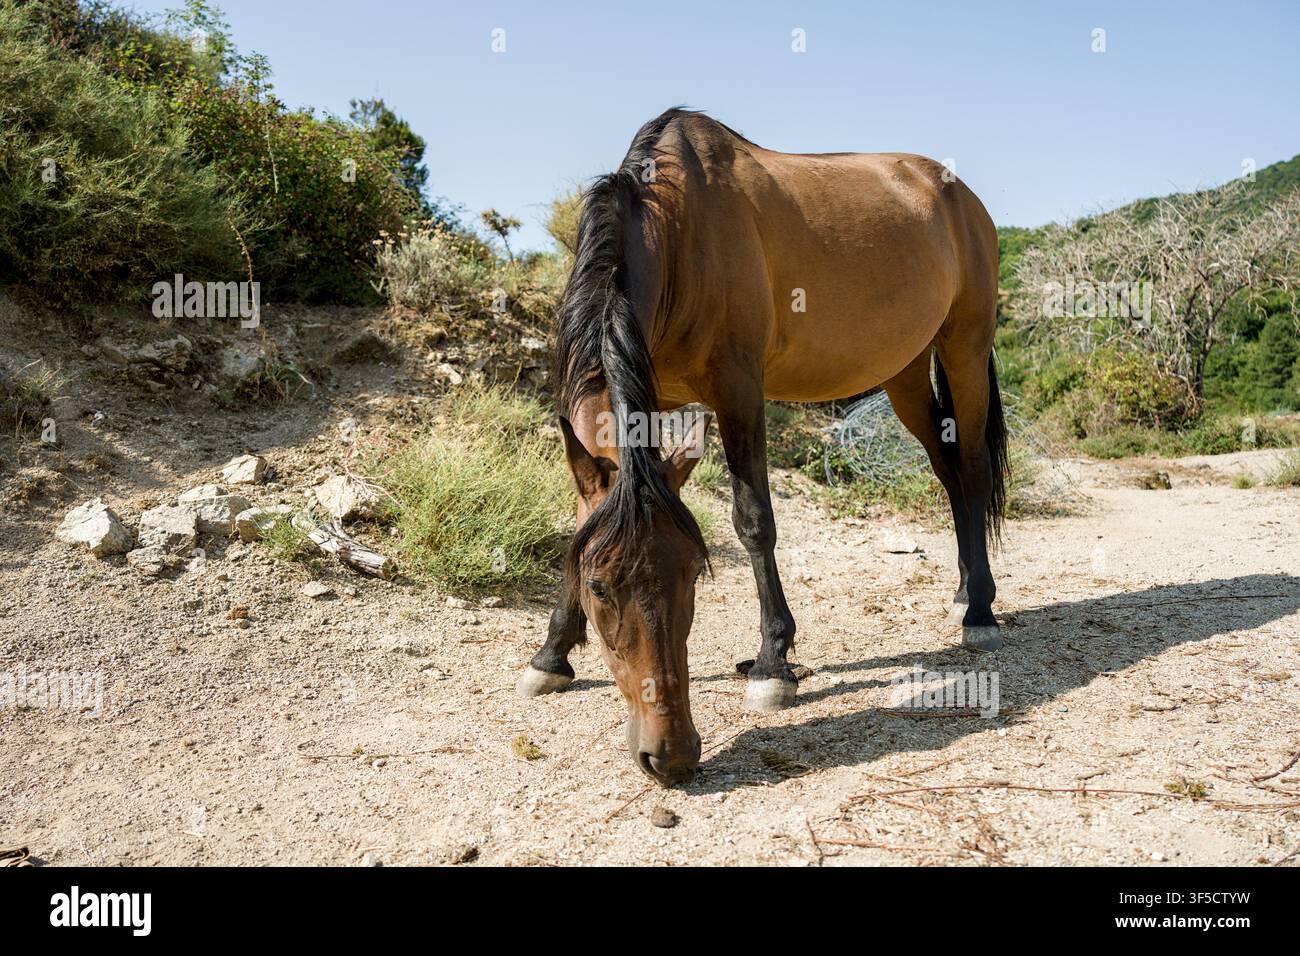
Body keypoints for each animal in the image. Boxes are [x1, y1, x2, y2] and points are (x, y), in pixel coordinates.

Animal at [516, 108, 1008, 788]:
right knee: (948, 473)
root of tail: (961, 195)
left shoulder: (738, 389)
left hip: (964, 345)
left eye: (693, 574)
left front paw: (774, 664)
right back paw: (964, 588)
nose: (672, 755)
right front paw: (552, 653)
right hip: (905, 371)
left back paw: (980, 611)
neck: (678, 228)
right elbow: (584, 518)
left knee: (973, 470)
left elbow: (754, 520)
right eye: (599, 585)